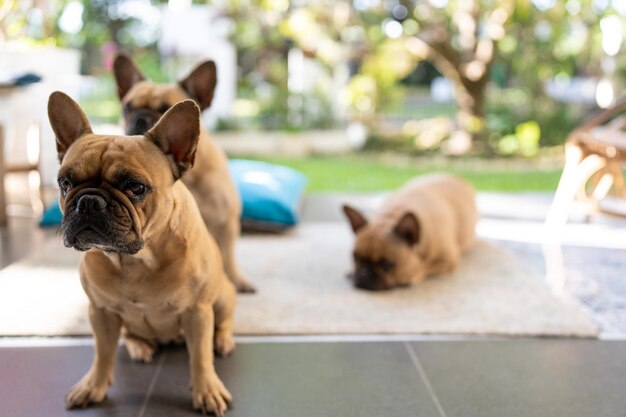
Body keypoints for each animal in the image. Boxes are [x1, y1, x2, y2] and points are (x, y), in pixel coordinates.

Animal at [338, 174, 476, 290]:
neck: (391, 217)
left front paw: (412, 275)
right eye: (354, 257)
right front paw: (351, 269)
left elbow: (425, 267)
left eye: (386, 264)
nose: (364, 273)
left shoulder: (448, 260)